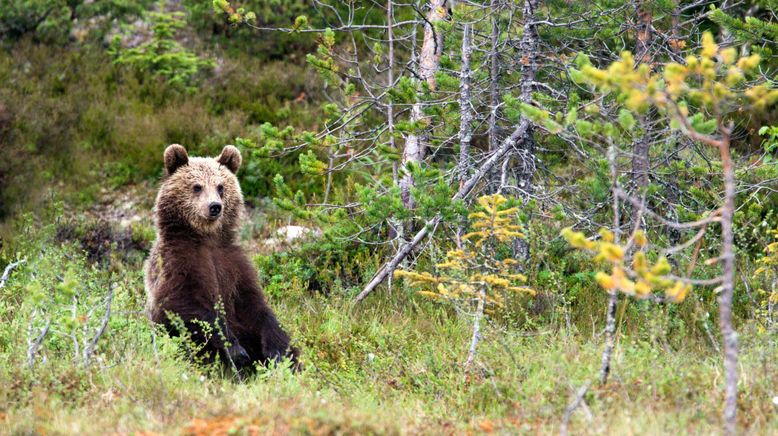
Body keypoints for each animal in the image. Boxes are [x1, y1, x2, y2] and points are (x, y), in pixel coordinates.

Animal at [144, 145, 296, 370]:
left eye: (221, 186)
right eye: (197, 187)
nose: (215, 206)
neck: (206, 238)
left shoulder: (233, 263)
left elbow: (255, 306)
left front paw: (277, 352)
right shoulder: (177, 261)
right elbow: (186, 303)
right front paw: (235, 349)